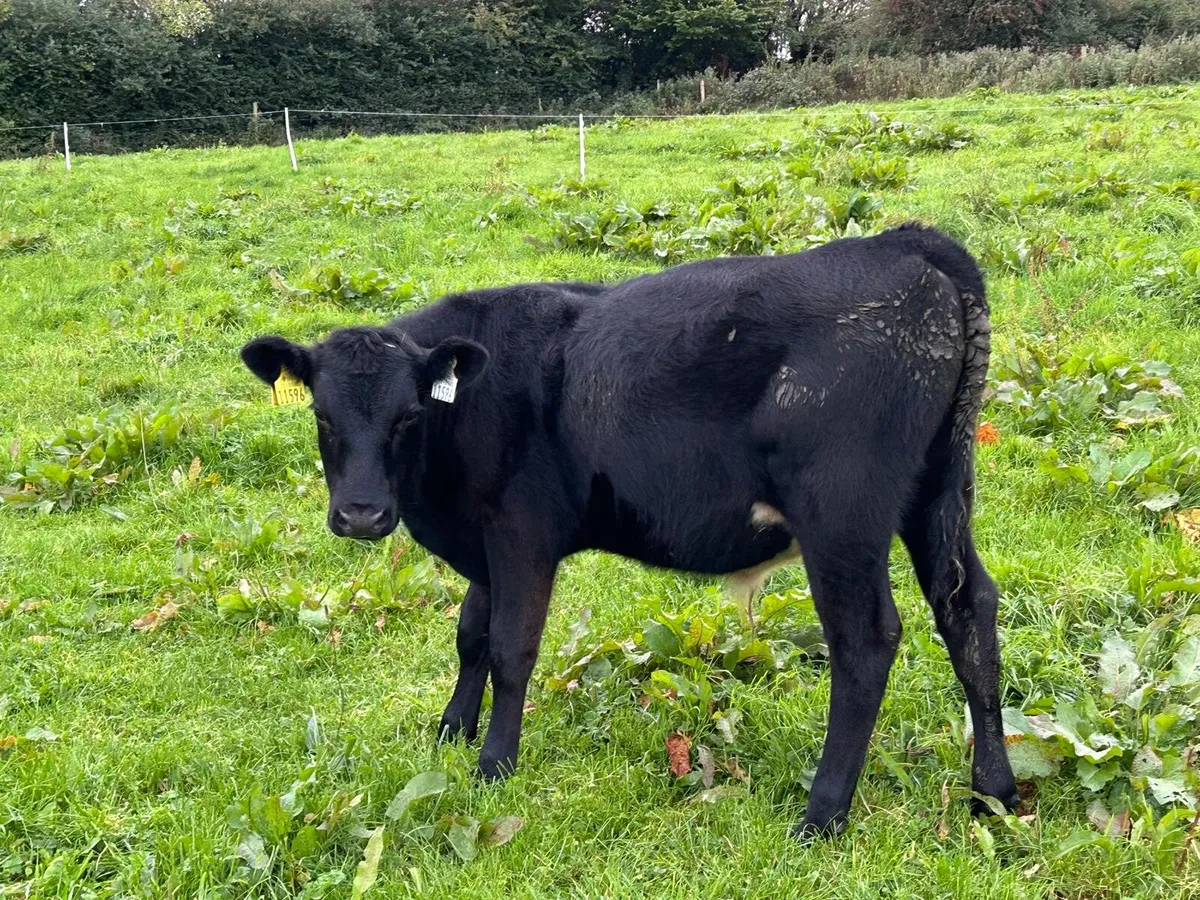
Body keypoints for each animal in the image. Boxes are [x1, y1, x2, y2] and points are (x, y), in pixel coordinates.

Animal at [241, 223, 1018, 838]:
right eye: (323, 417)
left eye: (407, 416)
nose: (361, 514)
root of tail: (904, 244)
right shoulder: (485, 540)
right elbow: (470, 634)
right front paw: (451, 731)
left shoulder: (520, 531)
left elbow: (511, 648)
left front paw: (494, 764)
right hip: (936, 493)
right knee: (967, 608)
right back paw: (995, 791)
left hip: (843, 516)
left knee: (866, 642)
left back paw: (822, 814)